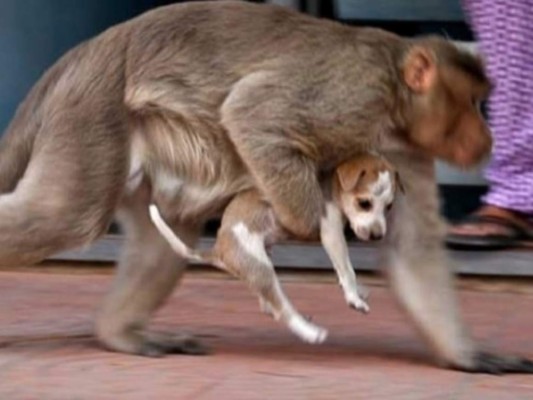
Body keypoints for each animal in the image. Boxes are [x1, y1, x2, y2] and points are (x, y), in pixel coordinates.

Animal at [149, 153, 400, 344]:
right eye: (364, 203)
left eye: (389, 207)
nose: (378, 236)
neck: (332, 185)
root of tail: (219, 248)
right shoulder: (331, 233)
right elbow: (347, 269)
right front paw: (354, 298)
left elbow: (345, 270)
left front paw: (359, 290)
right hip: (260, 268)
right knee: (281, 310)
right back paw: (311, 333)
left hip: (265, 258)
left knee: (269, 304)